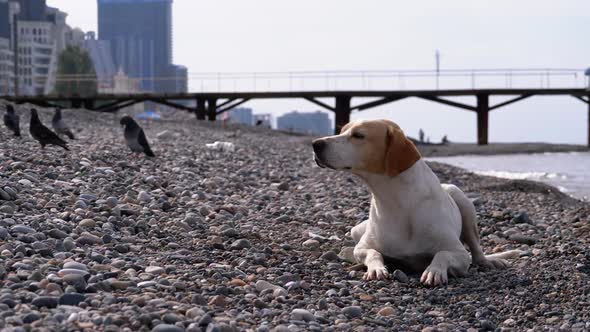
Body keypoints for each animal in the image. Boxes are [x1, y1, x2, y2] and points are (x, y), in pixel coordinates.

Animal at [314, 119, 524, 286]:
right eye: (342, 130)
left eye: (358, 135)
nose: (316, 144)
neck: (398, 201)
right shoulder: (363, 247)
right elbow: (374, 253)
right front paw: (376, 269)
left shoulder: (459, 253)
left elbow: (442, 254)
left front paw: (434, 271)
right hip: (356, 229)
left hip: (462, 200)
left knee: (477, 251)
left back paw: (488, 261)